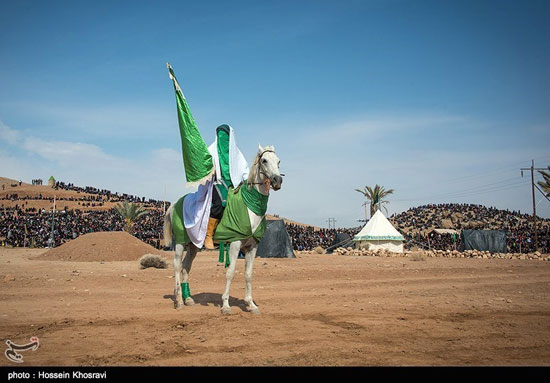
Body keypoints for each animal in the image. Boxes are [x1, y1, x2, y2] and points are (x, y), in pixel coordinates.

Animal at [163, 144, 284, 316]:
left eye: (278, 161)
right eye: (265, 160)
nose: (277, 180)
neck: (249, 207)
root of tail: (175, 204)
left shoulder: (252, 247)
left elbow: (248, 274)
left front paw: (251, 304)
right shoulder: (235, 244)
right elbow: (230, 273)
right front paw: (226, 305)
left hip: (194, 245)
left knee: (186, 267)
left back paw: (188, 299)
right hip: (179, 243)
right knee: (177, 266)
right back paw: (178, 301)